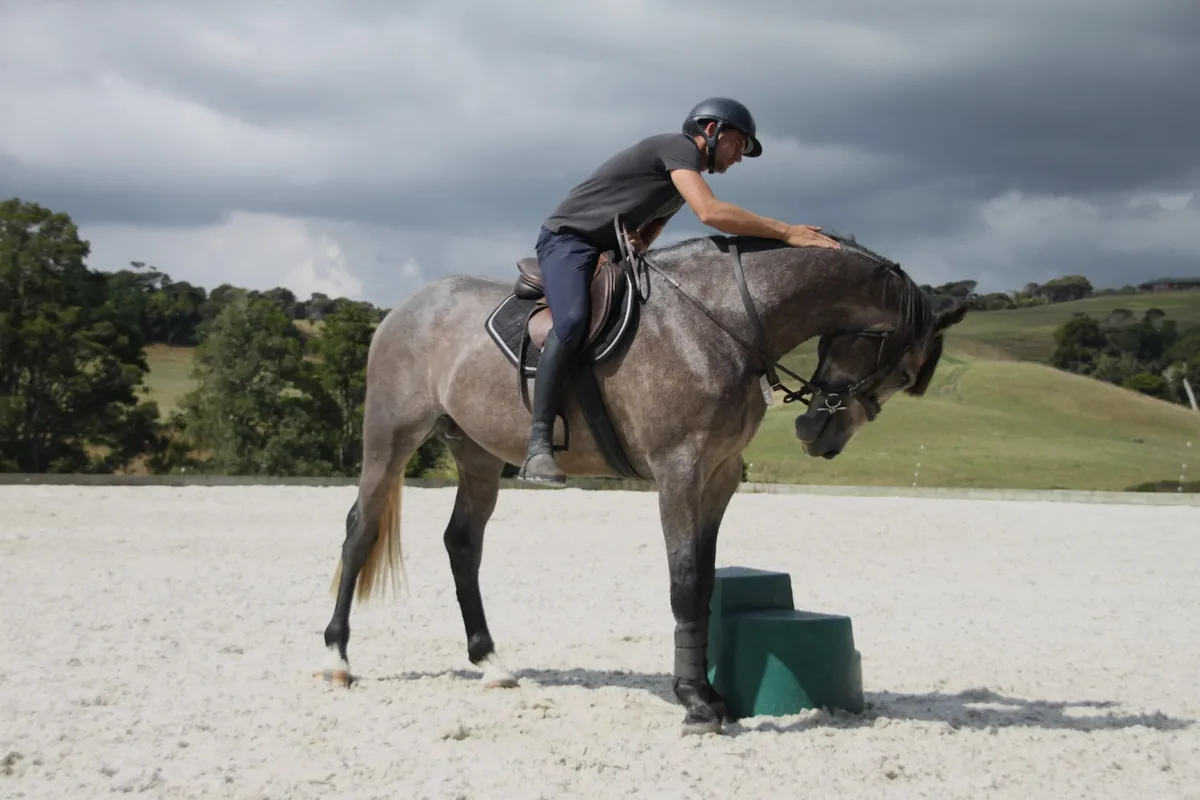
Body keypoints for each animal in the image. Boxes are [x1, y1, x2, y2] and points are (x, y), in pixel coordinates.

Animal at [319, 221, 969, 736]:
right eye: (903, 369)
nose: (819, 435)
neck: (724, 318)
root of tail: (405, 307)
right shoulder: (678, 469)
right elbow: (683, 581)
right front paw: (696, 704)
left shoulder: (719, 475)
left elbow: (704, 583)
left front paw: (709, 694)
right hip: (391, 435)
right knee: (360, 529)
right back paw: (337, 659)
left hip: (476, 451)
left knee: (462, 542)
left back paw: (492, 663)